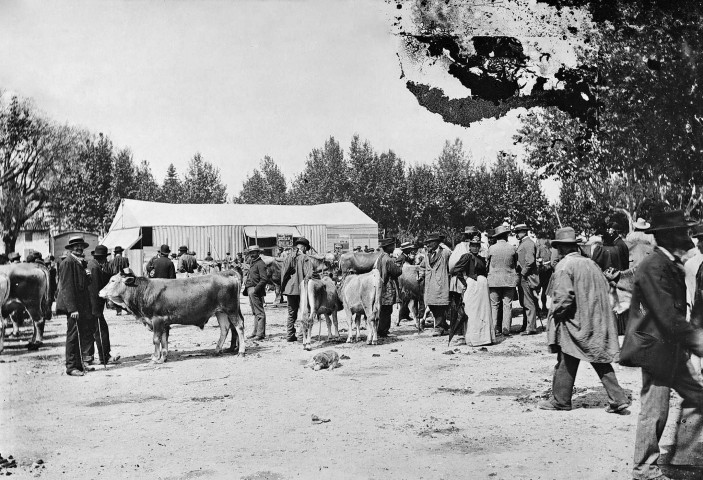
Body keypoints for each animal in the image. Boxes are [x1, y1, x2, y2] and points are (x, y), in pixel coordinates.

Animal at [99, 272, 245, 362]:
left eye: (112, 280)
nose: (99, 292)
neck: (144, 291)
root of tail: (226, 274)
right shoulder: (163, 322)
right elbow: (164, 340)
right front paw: (163, 356)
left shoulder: (157, 320)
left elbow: (156, 339)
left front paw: (155, 357)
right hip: (221, 312)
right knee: (225, 328)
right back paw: (218, 349)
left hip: (231, 309)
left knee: (239, 327)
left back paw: (241, 351)